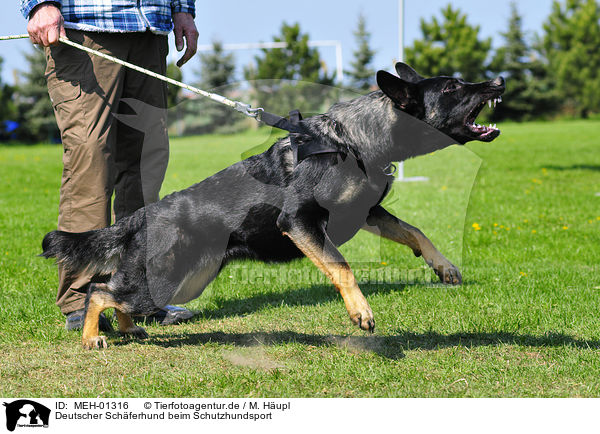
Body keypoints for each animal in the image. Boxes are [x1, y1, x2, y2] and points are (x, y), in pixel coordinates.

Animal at [39, 62, 504, 348]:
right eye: (452, 88)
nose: (499, 81)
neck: (354, 142)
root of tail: (141, 215)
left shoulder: (369, 213)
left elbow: (415, 231)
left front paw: (443, 267)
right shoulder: (299, 222)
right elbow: (342, 267)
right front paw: (361, 312)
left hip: (182, 282)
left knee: (113, 292)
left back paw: (130, 328)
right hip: (163, 281)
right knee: (98, 291)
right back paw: (91, 336)